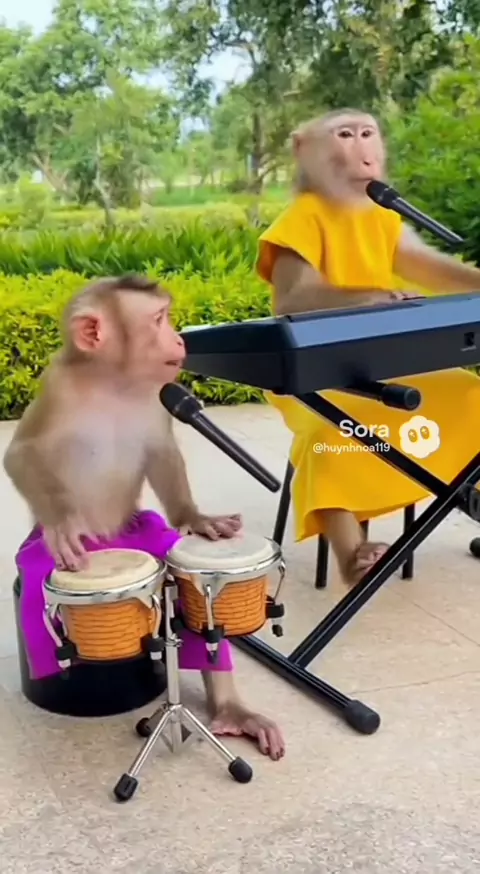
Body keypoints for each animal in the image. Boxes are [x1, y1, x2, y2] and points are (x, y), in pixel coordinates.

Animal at [4, 275, 285, 760]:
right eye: (157, 320)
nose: (179, 338)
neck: (113, 382)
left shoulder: (161, 397)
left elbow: (162, 452)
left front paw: (197, 518)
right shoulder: (57, 387)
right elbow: (21, 454)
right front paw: (62, 525)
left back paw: (231, 711)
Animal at [256, 107, 480, 586]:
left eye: (365, 133)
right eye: (344, 135)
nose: (365, 154)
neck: (346, 202)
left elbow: (429, 265)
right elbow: (293, 297)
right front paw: (383, 297)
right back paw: (356, 557)